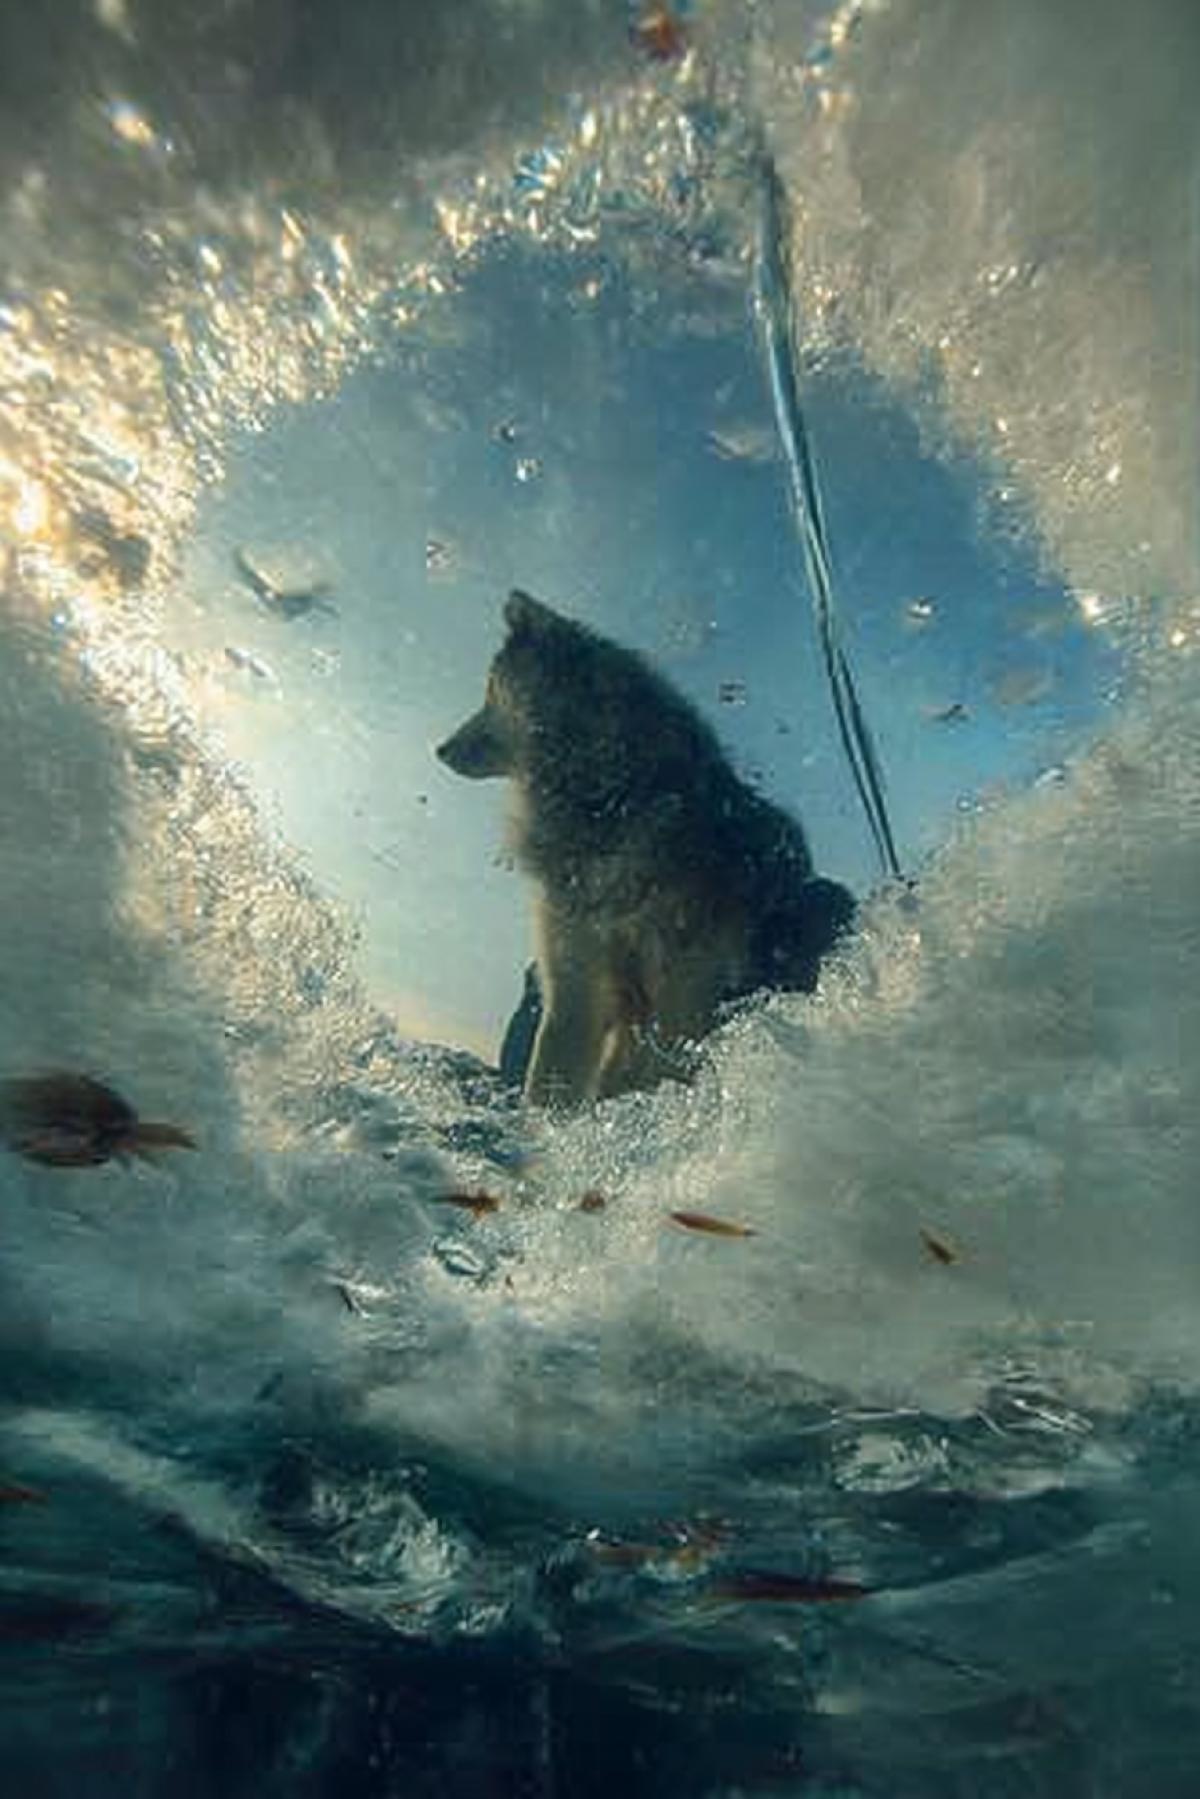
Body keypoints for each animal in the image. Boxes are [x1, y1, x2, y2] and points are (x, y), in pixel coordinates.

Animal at [436, 591, 854, 1106]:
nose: (439, 749)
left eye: (489, 690)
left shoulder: (685, 983)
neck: (608, 801)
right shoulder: (575, 980)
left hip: (819, 906)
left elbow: (661, 1065)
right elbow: (553, 1077)